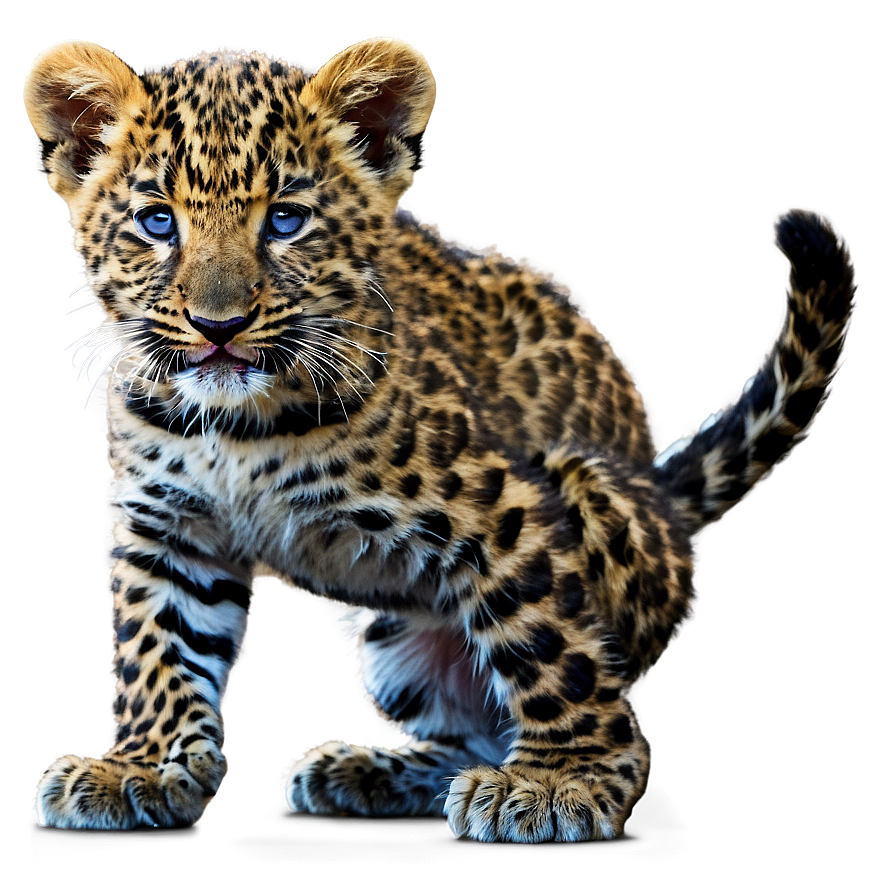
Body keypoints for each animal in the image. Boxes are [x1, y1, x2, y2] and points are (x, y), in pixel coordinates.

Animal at [23, 36, 856, 842]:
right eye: (157, 221)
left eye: (285, 220)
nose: (217, 326)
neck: (235, 428)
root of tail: (664, 495)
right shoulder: (170, 529)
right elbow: (158, 649)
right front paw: (143, 768)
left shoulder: (499, 507)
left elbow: (550, 642)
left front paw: (565, 779)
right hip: (396, 636)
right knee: (467, 734)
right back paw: (365, 774)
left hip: (582, 477)